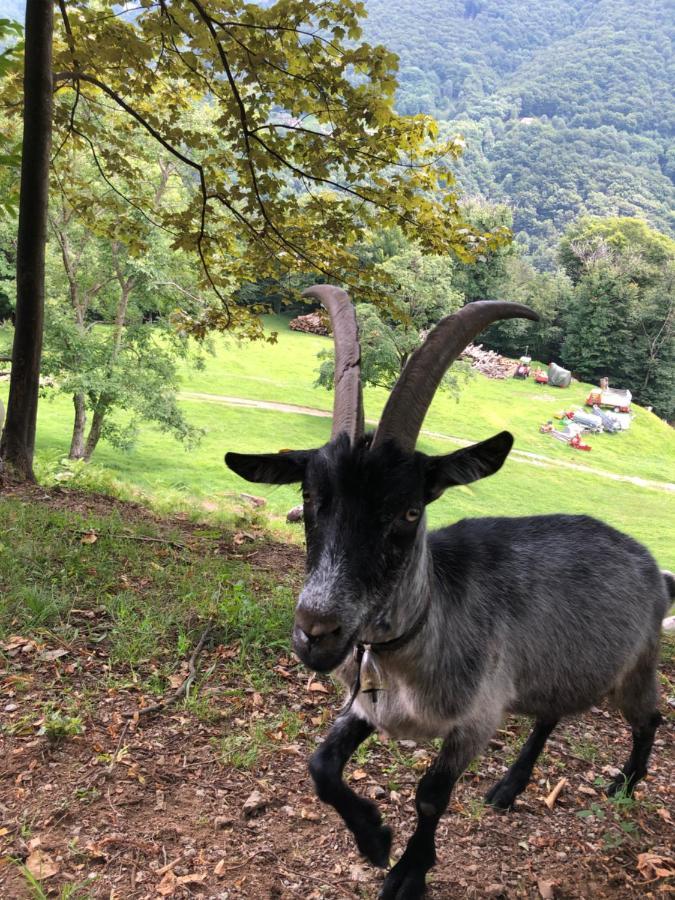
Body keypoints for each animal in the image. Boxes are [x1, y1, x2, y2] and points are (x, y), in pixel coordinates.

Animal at [227, 286, 672, 900]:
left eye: (410, 510)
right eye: (310, 497)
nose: (316, 632)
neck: (410, 649)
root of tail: (654, 568)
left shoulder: (475, 719)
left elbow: (430, 796)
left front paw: (408, 872)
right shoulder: (367, 707)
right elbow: (320, 765)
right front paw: (374, 839)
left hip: (633, 666)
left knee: (648, 719)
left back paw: (625, 784)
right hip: (558, 667)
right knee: (549, 717)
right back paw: (508, 789)